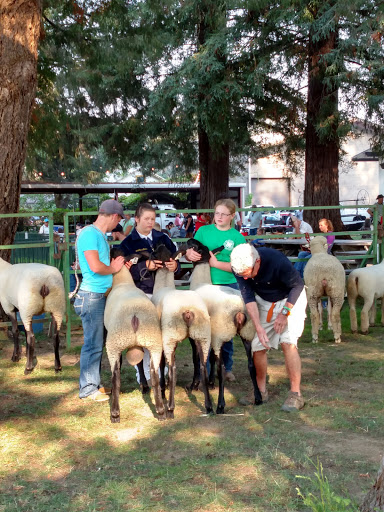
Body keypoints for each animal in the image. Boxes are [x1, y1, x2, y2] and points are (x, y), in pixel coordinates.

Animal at [104, 254, 166, 422]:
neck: (123, 281)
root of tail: (135, 316)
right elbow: (139, 364)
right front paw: (144, 386)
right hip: (153, 341)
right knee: (154, 374)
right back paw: (160, 411)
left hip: (114, 343)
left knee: (115, 376)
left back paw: (115, 413)